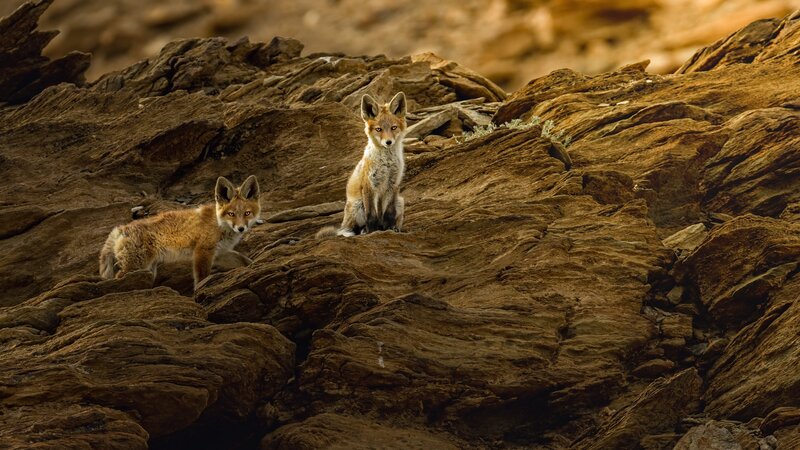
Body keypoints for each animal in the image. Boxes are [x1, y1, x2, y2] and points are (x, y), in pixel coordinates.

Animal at [99, 175, 261, 290]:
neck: (220, 225)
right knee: (119, 276)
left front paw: (255, 266)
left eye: (247, 213)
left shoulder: (221, 252)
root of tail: (121, 228)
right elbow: (202, 278)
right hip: (136, 266)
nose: (241, 228)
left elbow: (244, 260)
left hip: (148, 269)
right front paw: (200, 291)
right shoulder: (202, 252)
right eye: (231, 214)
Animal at [317, 92, 407, 238]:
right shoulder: (369, 185)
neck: (387, 164)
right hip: (358, 206)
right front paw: (372, 232)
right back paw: (363, 231)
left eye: (393, 128)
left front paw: (388, 229)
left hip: (400, 201)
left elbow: (389, 213)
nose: (388, 142)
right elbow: (372, 216)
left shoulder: (393, 185)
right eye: (379, 129)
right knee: (353, 229)